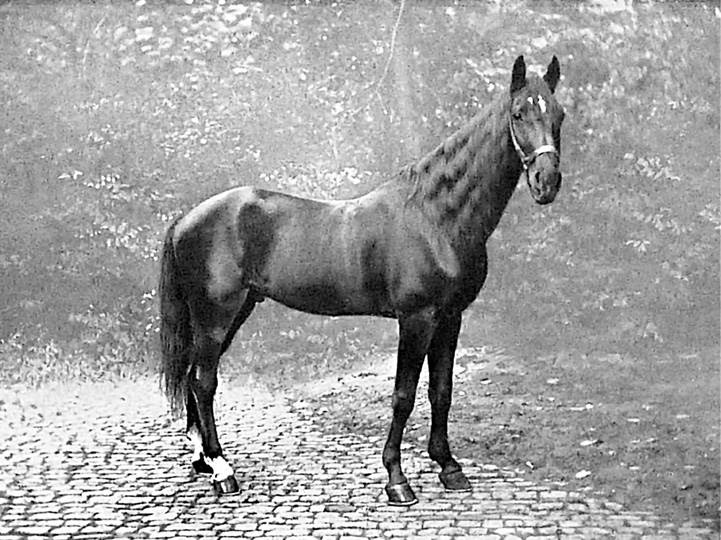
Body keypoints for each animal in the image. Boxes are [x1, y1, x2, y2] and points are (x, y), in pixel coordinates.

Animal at [159, 55, 564, 506]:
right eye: (519, 113)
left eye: (559, 115)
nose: (547, 182)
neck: (436, 219)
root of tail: (187, 218)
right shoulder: (417, 318)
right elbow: (404, 396)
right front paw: (397, 479)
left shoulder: (450, 317)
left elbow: (441, 391)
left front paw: (449, 467)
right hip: (216, 315)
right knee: (204, 382)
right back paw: (223, 471)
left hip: (231, 313)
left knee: (193, 378)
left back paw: (203, 462)